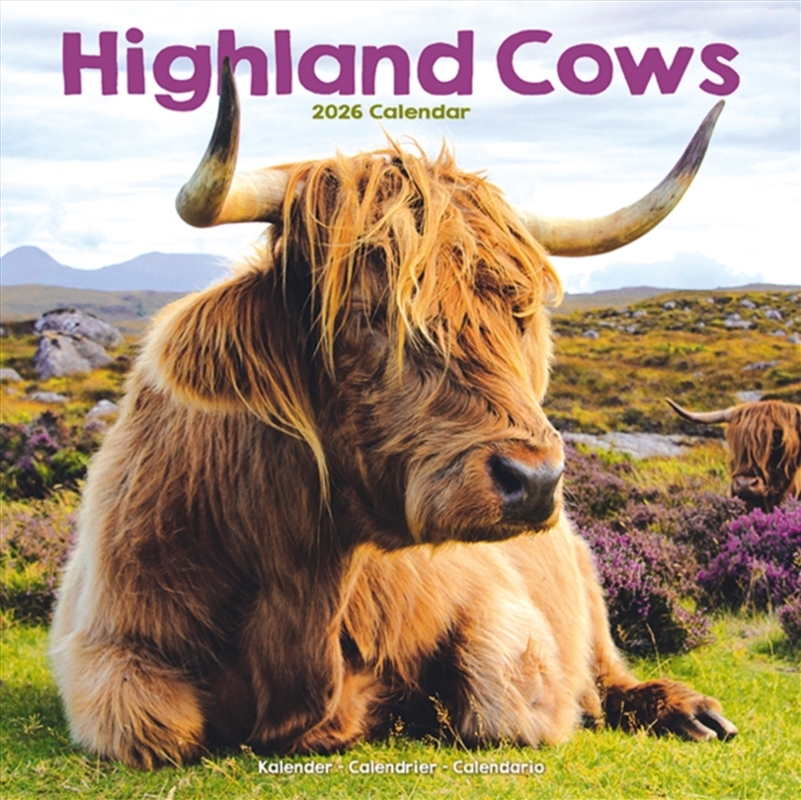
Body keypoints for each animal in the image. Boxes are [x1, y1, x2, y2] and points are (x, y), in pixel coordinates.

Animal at [50, 61, 736, 769]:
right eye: (368, 313)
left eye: (518, 314)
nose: (536, 480)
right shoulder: (104, 643)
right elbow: (159, 724)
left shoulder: (501, 608)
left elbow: (504, 705)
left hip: (584, 575)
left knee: (606, 669)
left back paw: (688, 709)